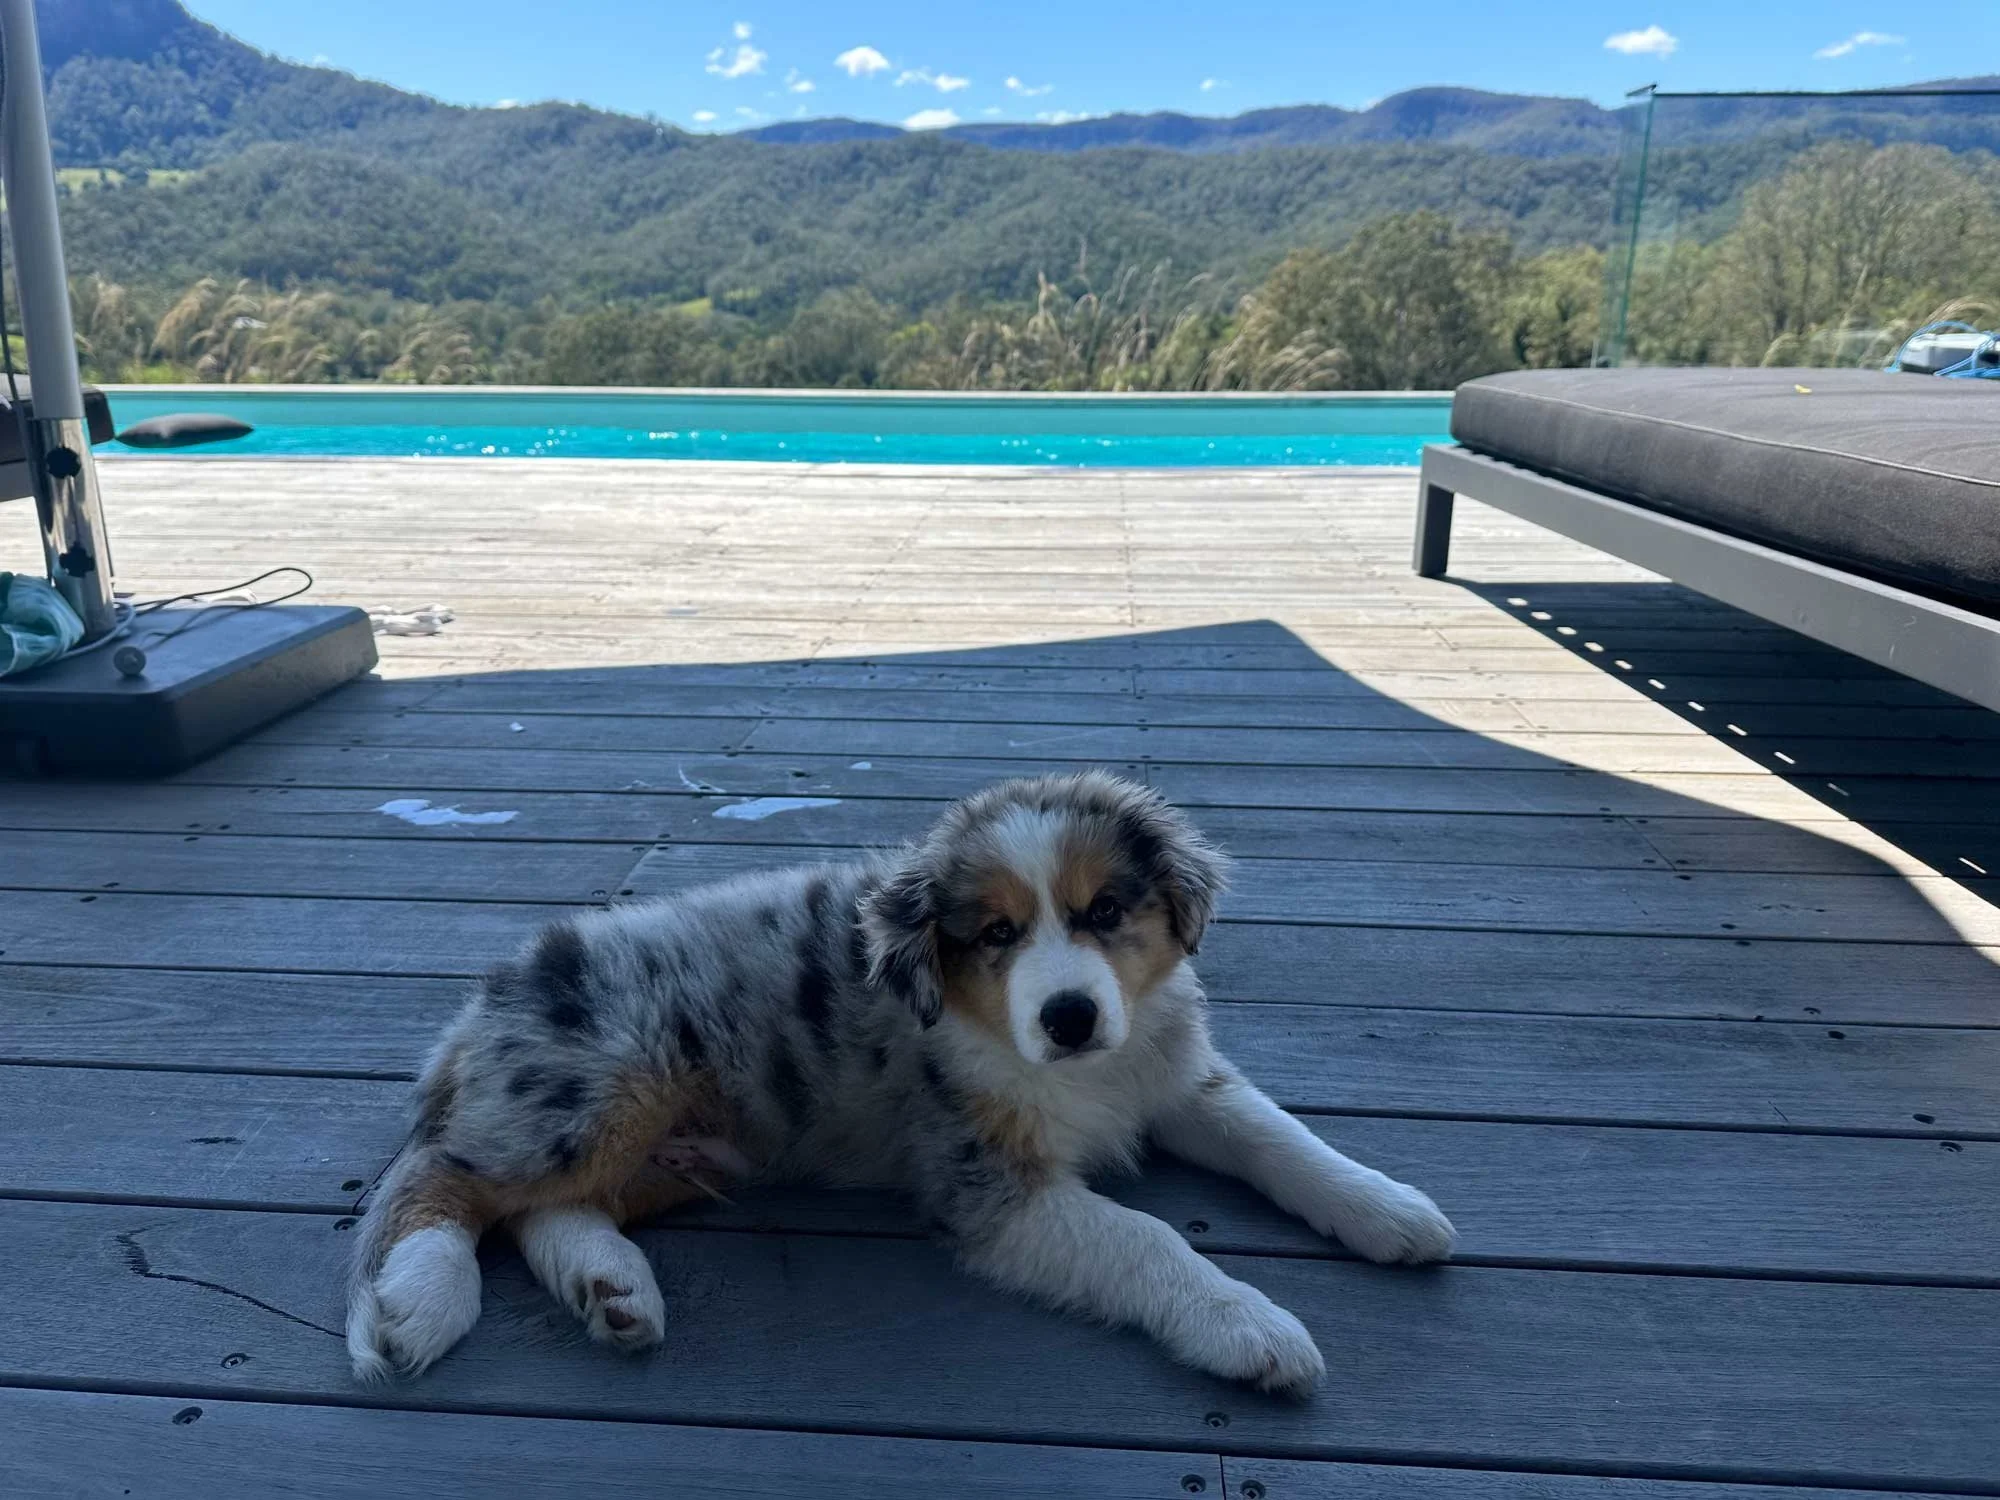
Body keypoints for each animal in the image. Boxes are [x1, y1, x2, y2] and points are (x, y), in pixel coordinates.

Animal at [346, 771, 1455, 1393]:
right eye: (997, 934)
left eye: (1104, 913)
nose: (1069, 1017)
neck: (1080, 1071)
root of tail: (478, 1010)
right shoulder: (986, 1184)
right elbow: (1146, 1238)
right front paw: (1249, 1327)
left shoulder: (1173, 1072)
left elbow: (1278, 1134)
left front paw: (1390, 1210)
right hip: (607, 1082)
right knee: (445, 1177)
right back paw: (421, 1297)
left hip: (690, 1148)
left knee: (544, 1209)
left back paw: (612, 1288)